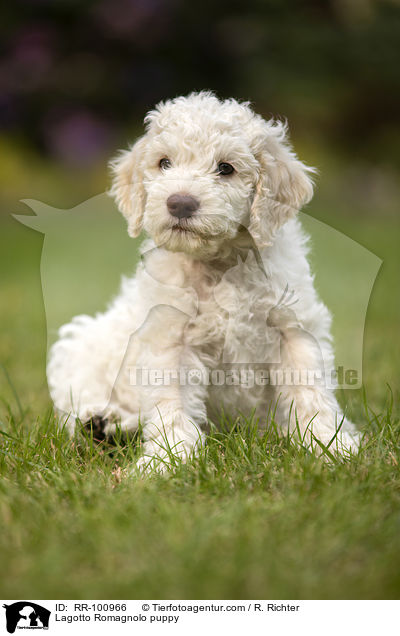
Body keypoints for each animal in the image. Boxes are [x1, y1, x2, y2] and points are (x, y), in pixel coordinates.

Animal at [48, 92, 360, 470]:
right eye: (164, 163)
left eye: (226, 168)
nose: (180, 203)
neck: (219, 264)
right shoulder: (170, 338)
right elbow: (171, 402)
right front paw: (168, 458)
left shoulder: (293, 327)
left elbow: (310, 390)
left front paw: (329, 444)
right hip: (83, 346)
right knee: (78, 399)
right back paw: (103, 422)